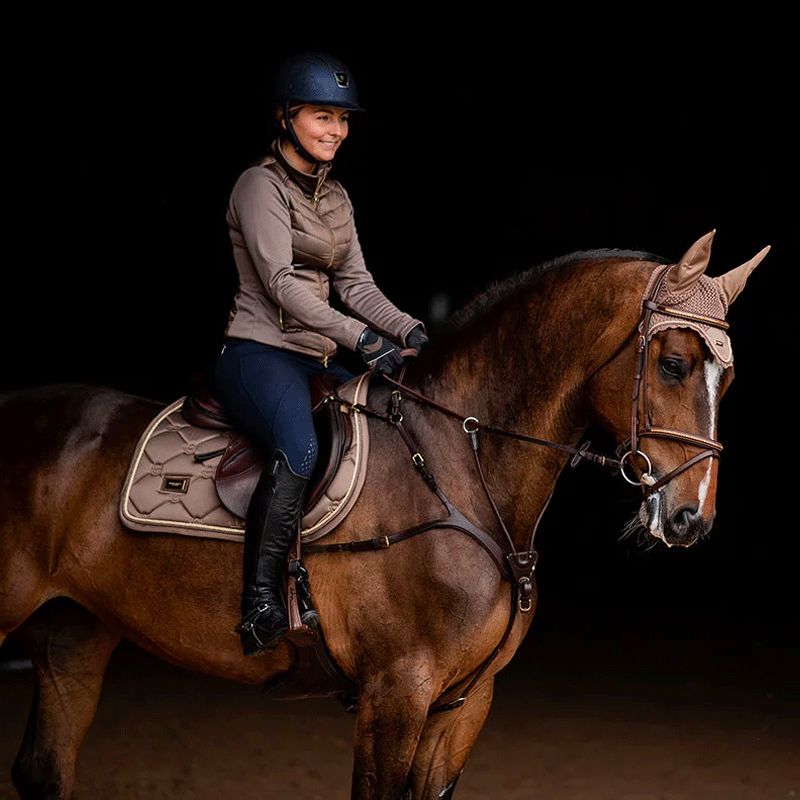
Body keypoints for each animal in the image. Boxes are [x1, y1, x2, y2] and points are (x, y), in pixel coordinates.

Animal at [0, 230, 767, 799]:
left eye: (726, 377)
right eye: (672, 364)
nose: (690, 519)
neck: (459, 466)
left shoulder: (462, 706)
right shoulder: (395, 694)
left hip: (73, 634)